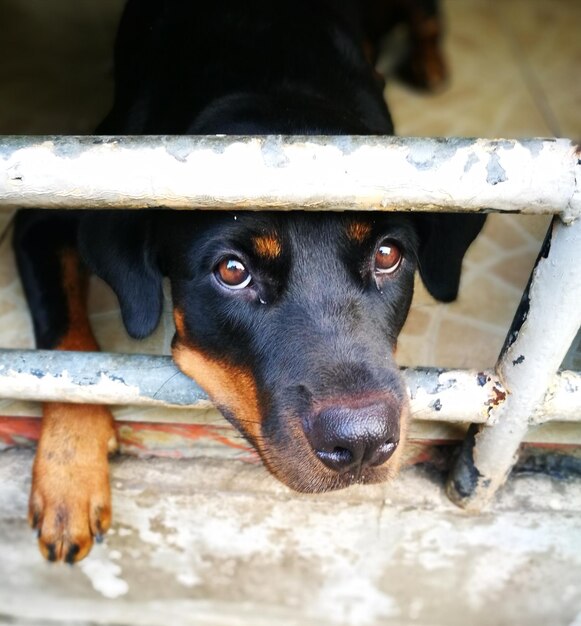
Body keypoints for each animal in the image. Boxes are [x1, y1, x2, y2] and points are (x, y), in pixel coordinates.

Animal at [14, 0, 484, 564]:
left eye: (388, 255)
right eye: (232, 271)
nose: (363, 442)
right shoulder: (47, 203)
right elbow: (66, 355)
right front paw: (69, 474)